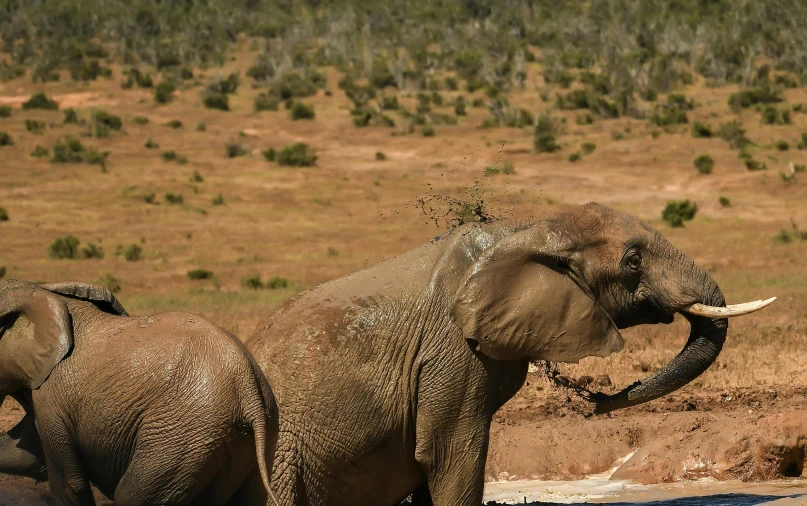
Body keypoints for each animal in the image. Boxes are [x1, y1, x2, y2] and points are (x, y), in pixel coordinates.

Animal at [0, 278, 280, 506]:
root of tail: (249, 391)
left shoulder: (52, 394)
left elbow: (68, 484)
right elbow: (27, 453)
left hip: (184, 434)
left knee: (132, 495)